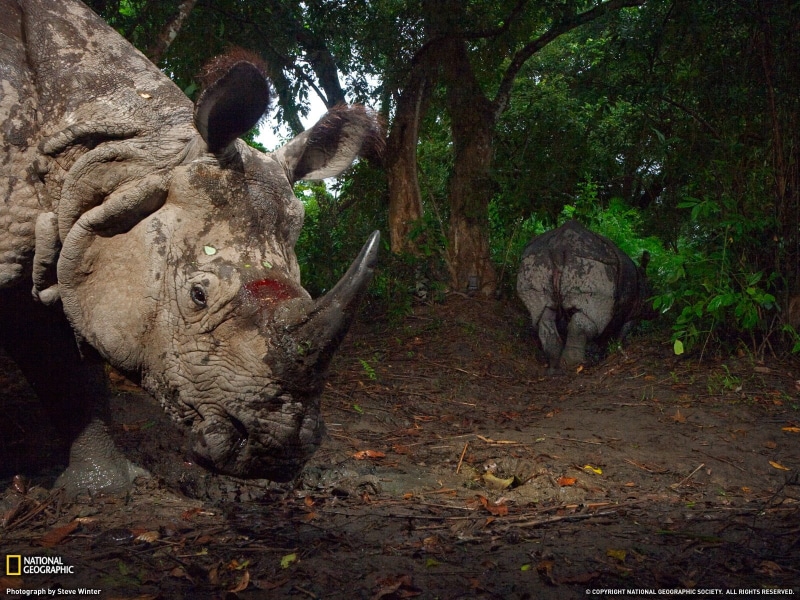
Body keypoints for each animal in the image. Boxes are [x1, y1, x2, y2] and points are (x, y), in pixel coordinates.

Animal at [517, 220, 653, 373]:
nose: (655, 313)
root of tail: (559, 247)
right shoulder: (633, 313)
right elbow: (622, 332)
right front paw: (613, 349)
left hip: (534, 262)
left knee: (544, 314)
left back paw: (555, 366)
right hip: (593, 265)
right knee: (585, 318)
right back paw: (576, 365)